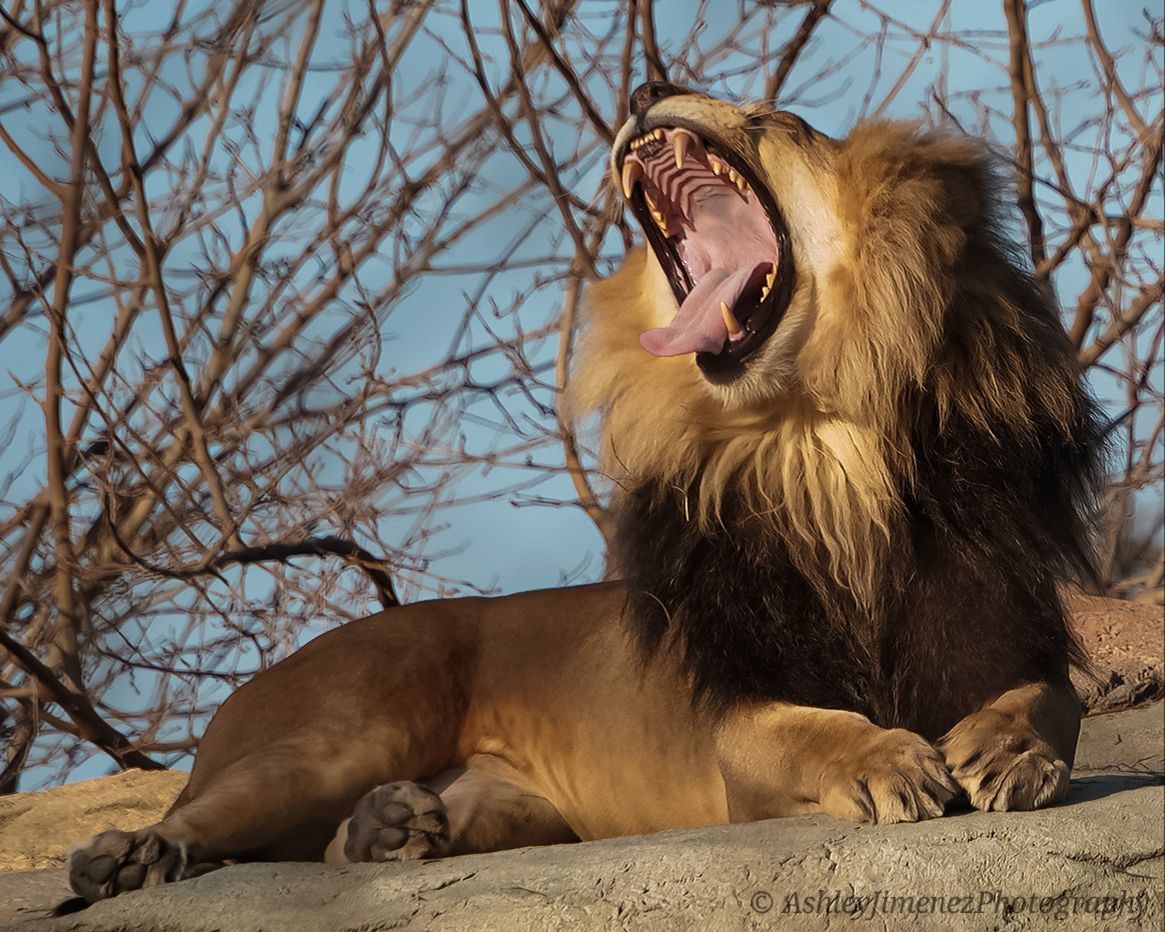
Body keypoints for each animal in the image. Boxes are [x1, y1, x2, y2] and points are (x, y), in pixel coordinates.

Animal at [66, 82, 1103, 905]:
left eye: (774, 121)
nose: (646, 86)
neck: (812, 444)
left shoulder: (1009, 627)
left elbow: (1051, 701)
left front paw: (1007, 750)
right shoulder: (734, 726)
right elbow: (810, 733)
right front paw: (885, 758)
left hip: (514, 807)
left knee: (344, 845)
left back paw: (387, 830)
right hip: (341, 731)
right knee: (200, 816)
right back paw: (130, 857)